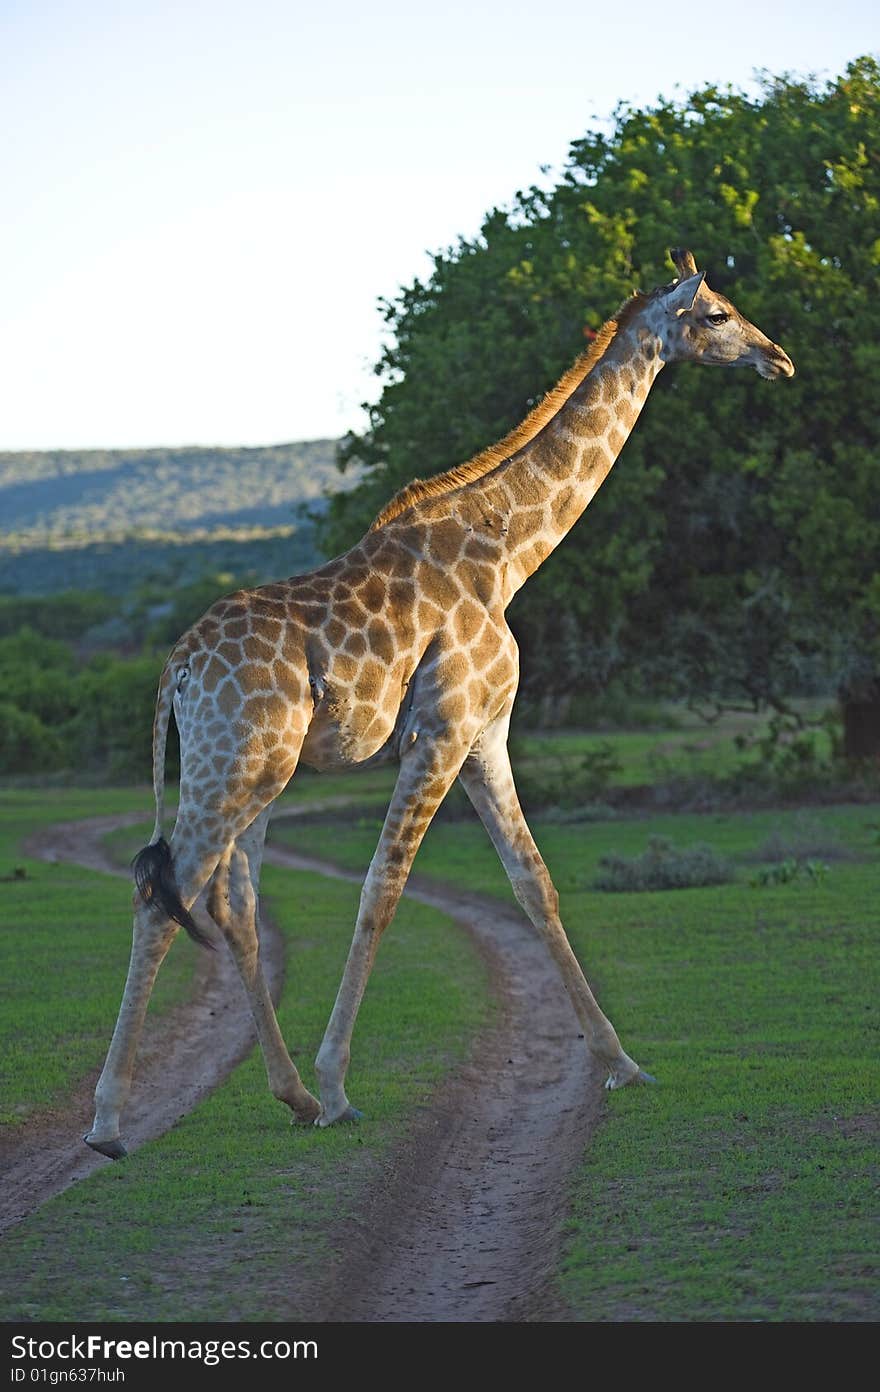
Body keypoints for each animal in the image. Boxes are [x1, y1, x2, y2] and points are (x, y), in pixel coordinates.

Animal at [85, 247, 796, 1152]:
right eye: (717, 314)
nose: (778, 358)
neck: (509, 552)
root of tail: (175, 667)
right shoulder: (443, 729)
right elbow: (381, 890)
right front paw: (340, 1084)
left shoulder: (487, 732)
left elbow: (534, 882)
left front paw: (623, 1062)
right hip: (229, 768)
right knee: (160, 894)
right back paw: (113, 1121)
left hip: (256, 774)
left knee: (230, 903)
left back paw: (291, 1097)